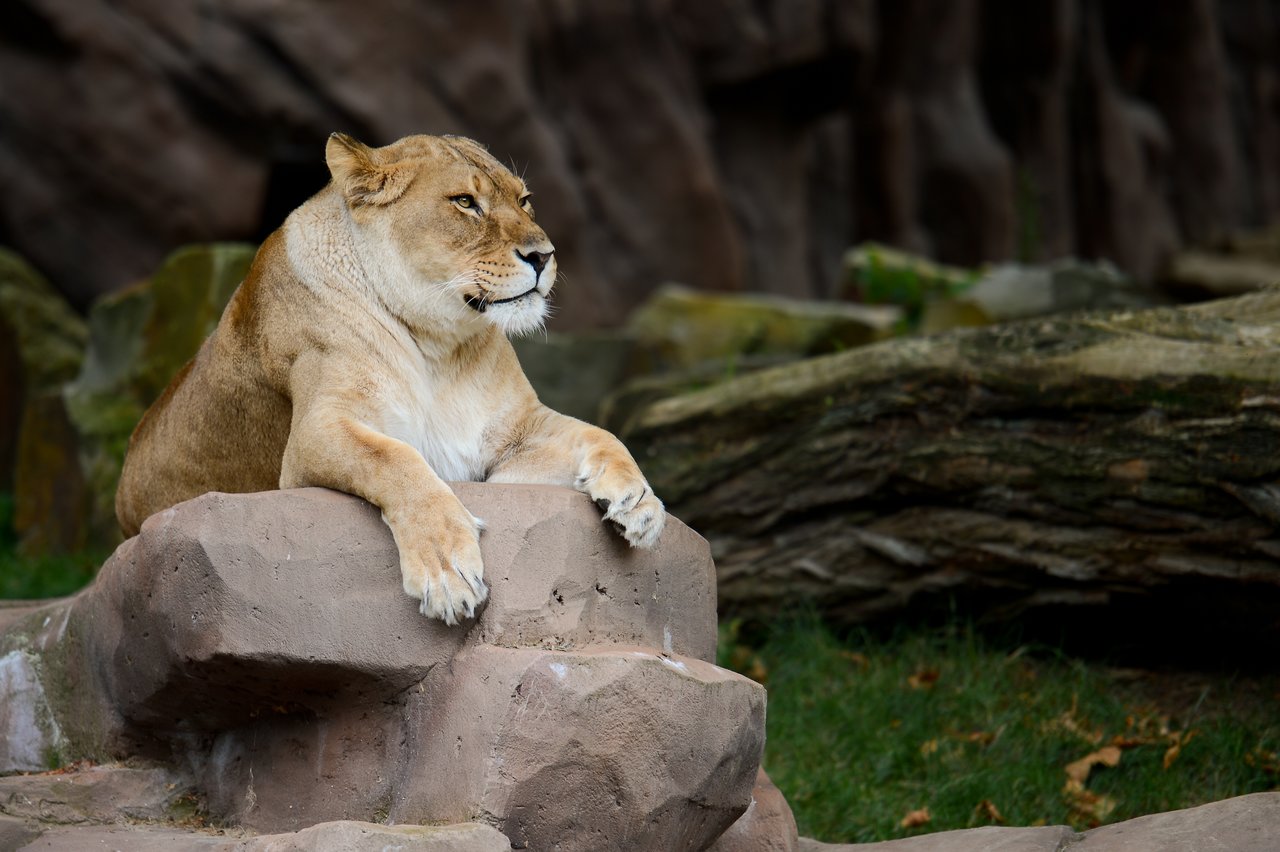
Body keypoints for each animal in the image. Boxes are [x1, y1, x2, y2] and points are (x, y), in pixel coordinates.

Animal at [115, 132, 665, 625]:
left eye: (524, 200)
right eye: (465, 202)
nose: (543, 256)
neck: (437, 348)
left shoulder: (510, 442)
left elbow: (598, 432)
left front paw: (640, 502)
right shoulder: (315, 434)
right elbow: (397, 460)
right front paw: (447, 574)